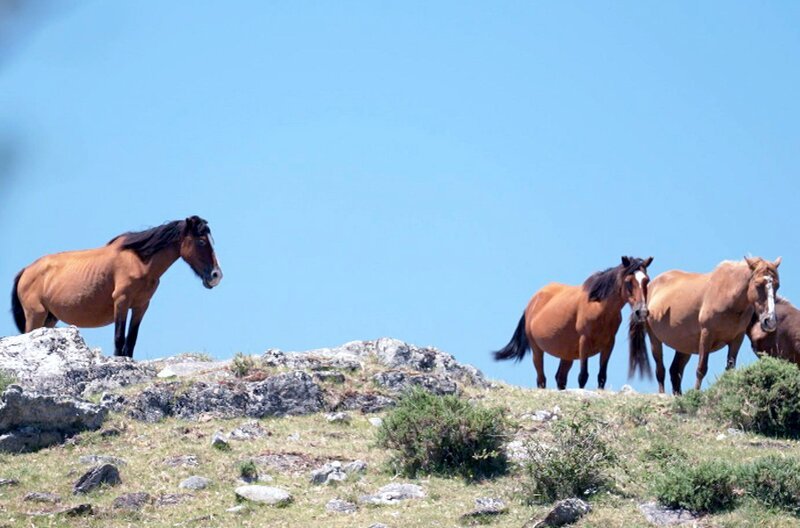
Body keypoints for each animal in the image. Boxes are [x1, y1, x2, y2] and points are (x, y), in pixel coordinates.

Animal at [10, 216, 222, 358]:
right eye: (201, 241)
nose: (216, 275)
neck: (140, 262)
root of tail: (26, 270)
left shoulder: (141, 306)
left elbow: (131, 341)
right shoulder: (121, 302)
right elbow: (119, 339)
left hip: (50, 319)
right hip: (35, 315)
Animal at [493, 256, 653, 390]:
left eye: (646, 281)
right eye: (628, 282)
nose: (641, 312)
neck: (599, 306)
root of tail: (531, 303)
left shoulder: (608, 344)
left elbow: (602, 376)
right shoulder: (584, 342)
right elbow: (583, 376)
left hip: (567, 354)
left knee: (560, 378)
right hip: (537, 349)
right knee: (541, 379)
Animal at [643, 257, 780, 394]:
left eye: (777, 285)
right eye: (757, 285)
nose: (770, 321)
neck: (728, 294)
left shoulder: (737, 338)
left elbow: (730, 370)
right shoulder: (707, 333)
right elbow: (701, 369)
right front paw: (696, 394)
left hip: (684, 346)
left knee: (675, 371)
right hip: (654, 338)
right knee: (660, 370)